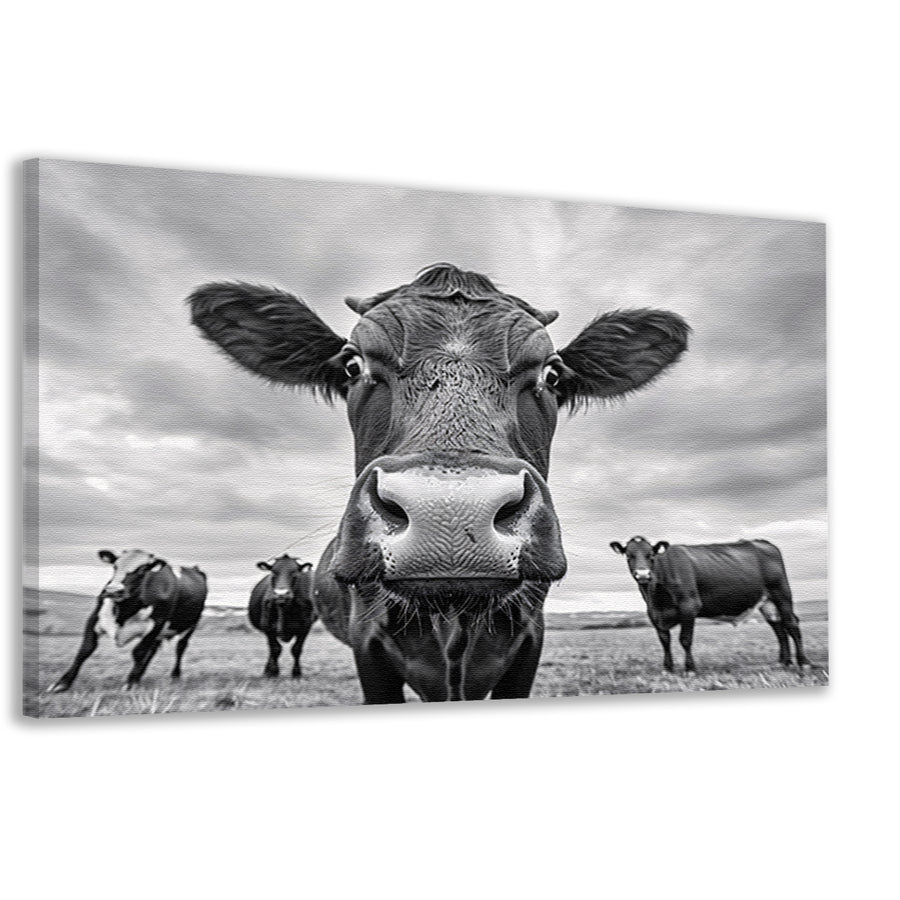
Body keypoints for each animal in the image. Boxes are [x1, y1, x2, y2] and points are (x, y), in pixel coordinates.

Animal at [46, 549, 208, 692]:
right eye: (115, 566)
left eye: (142, 569)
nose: (113, 590)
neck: (125, 611)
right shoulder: (94, 619)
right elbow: (85, 650)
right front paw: (62, 684)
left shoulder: (156, 624)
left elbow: (139, 652)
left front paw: (130, 684)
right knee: (153, 650)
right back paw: (140, 676)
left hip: (191, 624)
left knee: (180, 647)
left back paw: (174, 676)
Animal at [610, 536, 811, 673]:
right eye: (628, 556)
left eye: (650, 554)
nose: (643, 574)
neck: (657, 597)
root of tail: (762, 542)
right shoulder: (654, 614)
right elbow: (664, 641)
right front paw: (668, 668)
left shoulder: (689, 606)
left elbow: (685, 639)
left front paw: (690, 669)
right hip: (767, 602)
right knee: (779, 628)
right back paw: (784, 662)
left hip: (782, 593)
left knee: (791, 624)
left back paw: (804, 663)